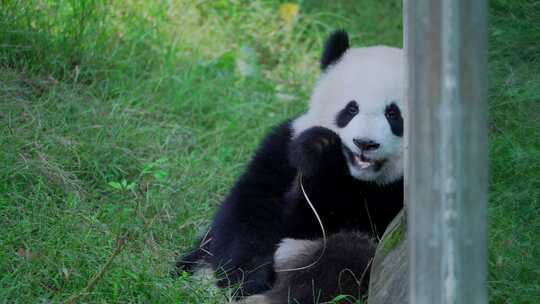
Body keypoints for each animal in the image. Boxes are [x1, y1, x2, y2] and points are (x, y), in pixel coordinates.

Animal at [177, 29, 404, 302]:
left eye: (393, 114)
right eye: (351, 109)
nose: (365, 143)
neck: (357, 175)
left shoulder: (391, 197)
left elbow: (322, 218)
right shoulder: (282, 148)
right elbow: (251, 211)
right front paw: (249, 277)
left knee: (342, 260)